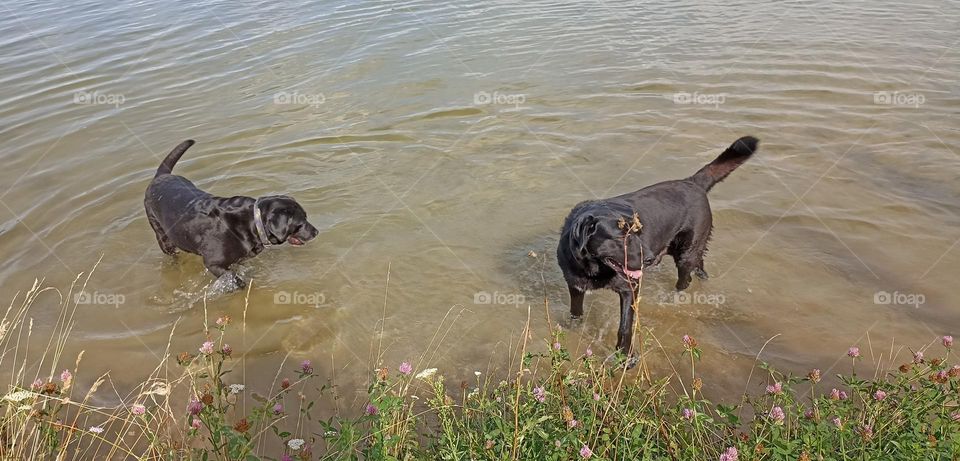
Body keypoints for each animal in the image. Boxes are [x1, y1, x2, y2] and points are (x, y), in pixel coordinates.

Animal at [144, 140, 318, 284]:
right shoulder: (213, 263)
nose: (316, 232)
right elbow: (236, 280)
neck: (252, 223)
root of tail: (160, 176)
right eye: (300, 223)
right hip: (162, 235)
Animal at [556, 135, 756, 358]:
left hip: (685, 254)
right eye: (621, 237)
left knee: (684, 280)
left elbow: (625, 327)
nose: (649, 258)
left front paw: (625, 357)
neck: (593, 268)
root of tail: (691, 182)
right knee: (700, 265)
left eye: (637, 231)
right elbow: (576, 313)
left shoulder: (629, 288)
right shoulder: (575, 285)